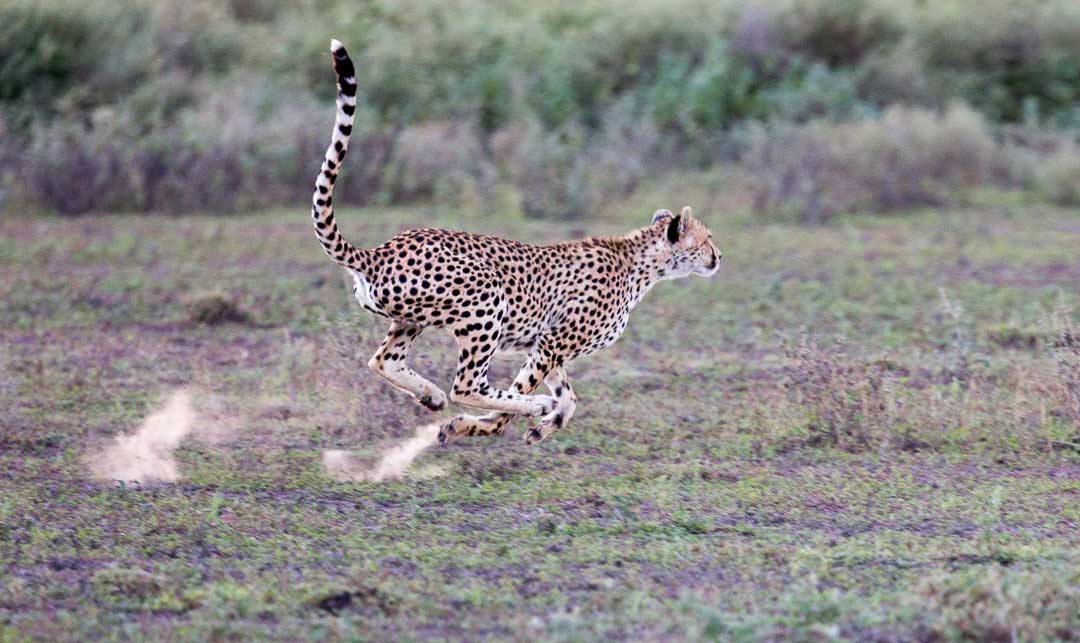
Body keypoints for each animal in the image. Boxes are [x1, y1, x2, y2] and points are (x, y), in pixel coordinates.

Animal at [311, 40, 722, 445]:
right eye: (706, 239)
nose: (718, 256)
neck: (640, 264)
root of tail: (380, 251)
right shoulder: (554, 341)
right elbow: (520, 396)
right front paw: (483, 423)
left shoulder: (546, 343)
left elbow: (569, 399)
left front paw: (544, 426)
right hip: (486, 300)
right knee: (466, 384)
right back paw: (523, 404)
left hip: (409, 318)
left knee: (383, 360)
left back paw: (431, 395)